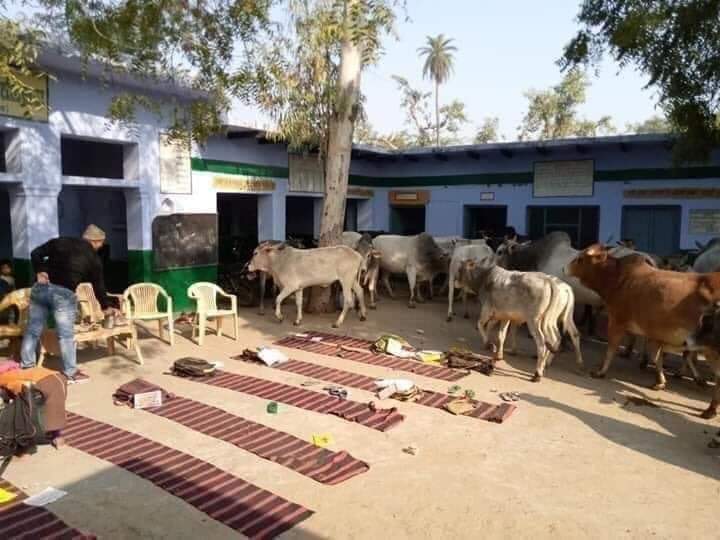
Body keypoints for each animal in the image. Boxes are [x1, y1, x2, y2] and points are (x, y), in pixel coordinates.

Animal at [566, 244, 720, 418]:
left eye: (580, 259)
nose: (565, 268)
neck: (617, 279)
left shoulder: (617, 322)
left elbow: (611, 349)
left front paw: (600, 372)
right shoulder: (653, 333)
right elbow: (657, 357)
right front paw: (660, 382)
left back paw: (710, 407)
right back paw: (709, 406)